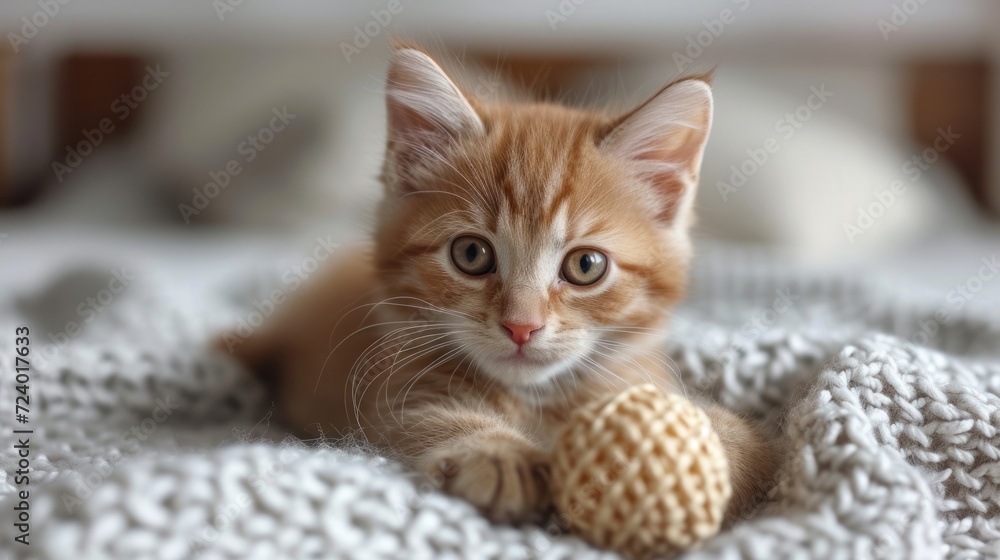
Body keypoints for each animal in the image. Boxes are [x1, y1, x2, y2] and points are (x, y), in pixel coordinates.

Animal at [229, 46, 780, 524]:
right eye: (471, 254)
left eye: (586, 266)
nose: (521, 326)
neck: (534, 399)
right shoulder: (391, 395)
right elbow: (431, 417)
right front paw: (500, 455)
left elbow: (745, 440)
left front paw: (705, 444)